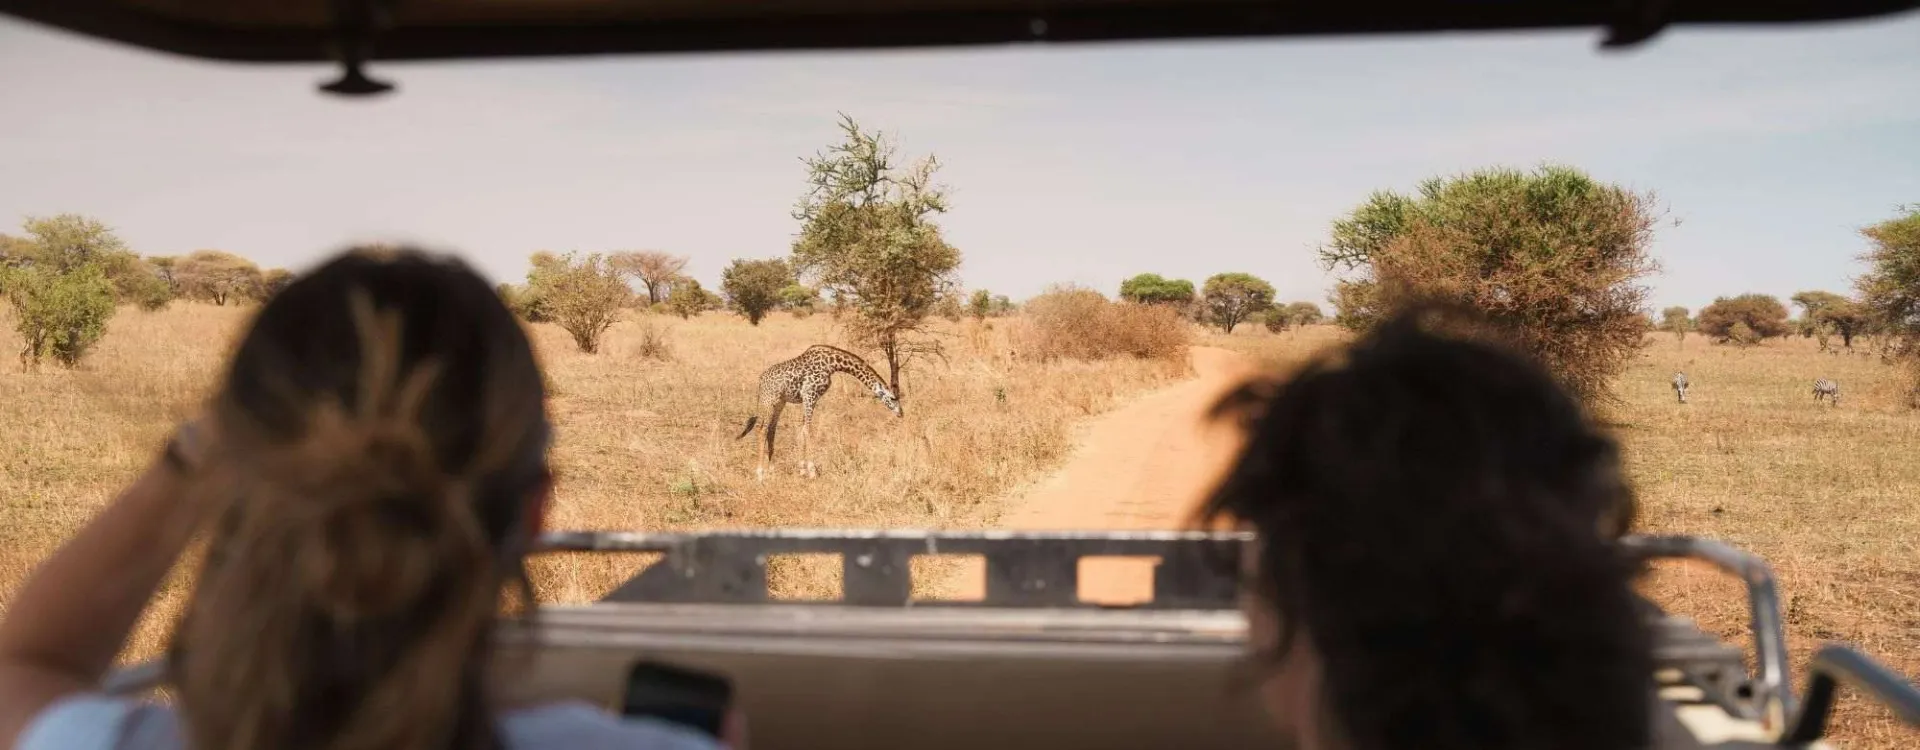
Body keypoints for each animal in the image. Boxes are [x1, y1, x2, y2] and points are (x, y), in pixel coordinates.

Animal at [736, 344, 901, 480]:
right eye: (893, 398)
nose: (901, 413)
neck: (832, 364)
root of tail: (760, 382)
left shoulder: (808, 399)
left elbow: (802, 431)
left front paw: (802, 470)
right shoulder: (810, 395)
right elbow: (808, 431)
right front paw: (812, 471)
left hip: (779, 403)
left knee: (771, 430)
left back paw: (771, 470)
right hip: (769, 401)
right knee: (761, 429)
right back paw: (760, 474)